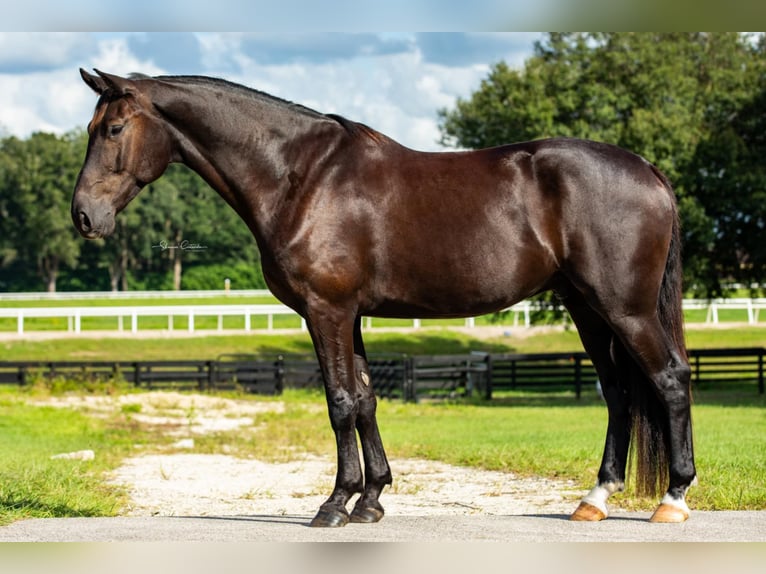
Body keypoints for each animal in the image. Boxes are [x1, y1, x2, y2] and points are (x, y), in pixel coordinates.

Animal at [73, 70, 704, 528]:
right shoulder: (348, 315)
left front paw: (335, 504)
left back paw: (672, 499)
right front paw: (372, 499)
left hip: (624, 309)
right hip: (587, 309)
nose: (84, 216)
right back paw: (594, 499)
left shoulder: (326, 311)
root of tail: (647, 169)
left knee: (670, 379)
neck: (301, 177)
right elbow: (366, 399)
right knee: (619, 393)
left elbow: (339, 403)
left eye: (112, 130)